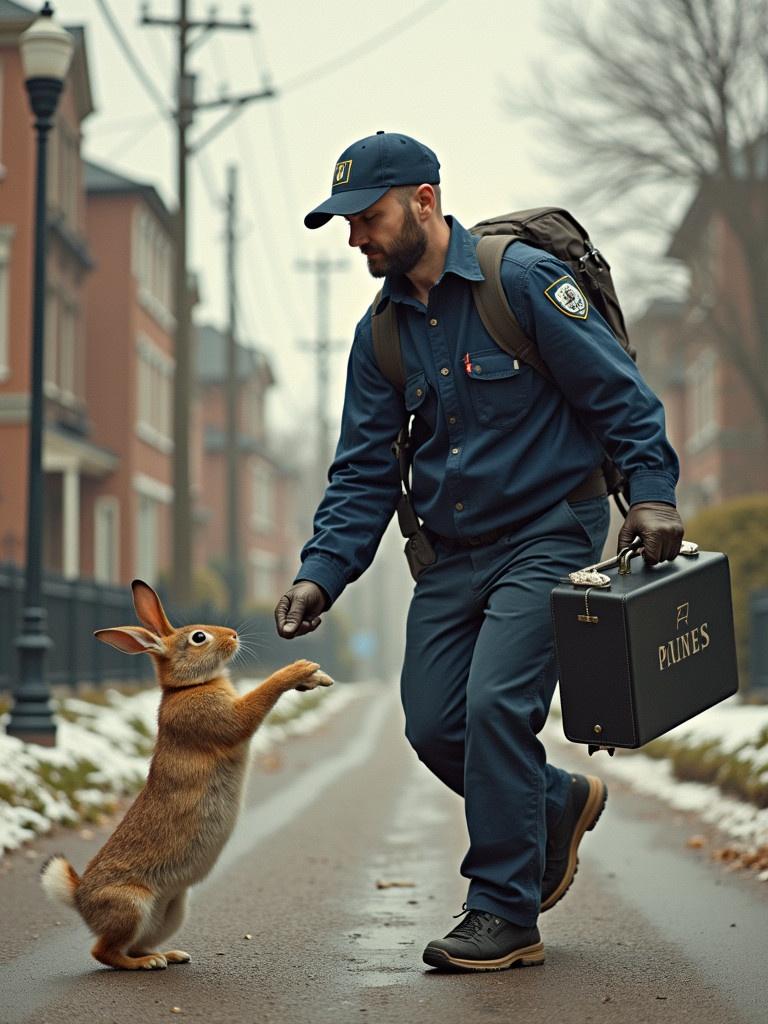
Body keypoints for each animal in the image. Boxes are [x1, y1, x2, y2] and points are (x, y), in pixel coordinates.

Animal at [38, 581, 333, 970]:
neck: (188, 686)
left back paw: (168, 955)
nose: (233, 635)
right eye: (198, 637)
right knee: (105, 952)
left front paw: (317, 677)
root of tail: (80, 898)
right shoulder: (223, 719)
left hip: (174, 910)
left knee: (135, 944)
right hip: (131, 905)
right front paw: (299, 670)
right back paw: (146, 964)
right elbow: (257, 700)